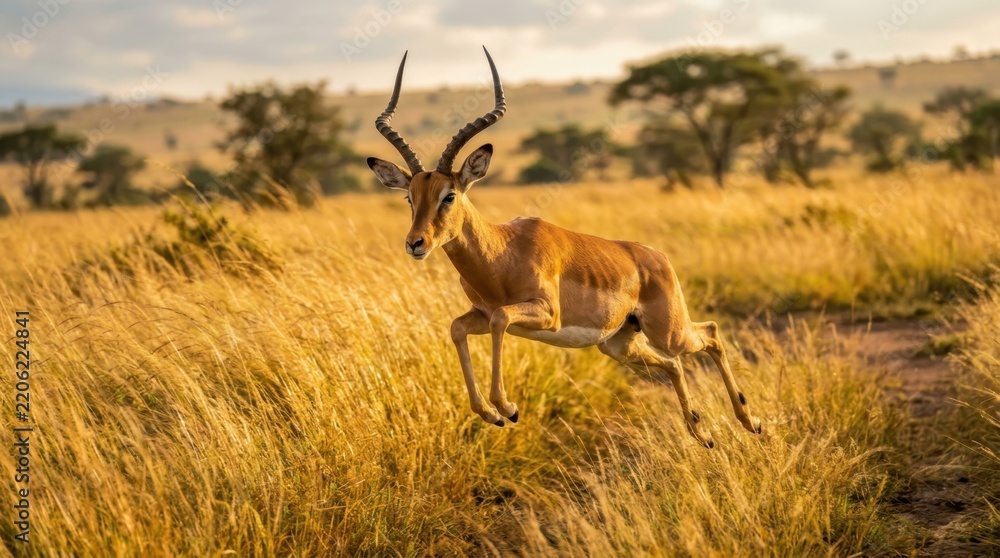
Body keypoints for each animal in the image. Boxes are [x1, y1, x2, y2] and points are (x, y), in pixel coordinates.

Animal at [366, 48, 761, 448]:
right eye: (410, 198)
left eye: (449, 195)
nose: (415, 243)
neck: (502, 255)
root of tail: (655, 255)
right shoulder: (478, 313)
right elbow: (457, 328)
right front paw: (491, 414)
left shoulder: (545, 313)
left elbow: (500, 318)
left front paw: (508, 408)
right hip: (619, 344)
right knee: (674, 363)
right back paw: (702, 433)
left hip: (668, 331)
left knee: (711, 334)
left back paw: (751, 421)